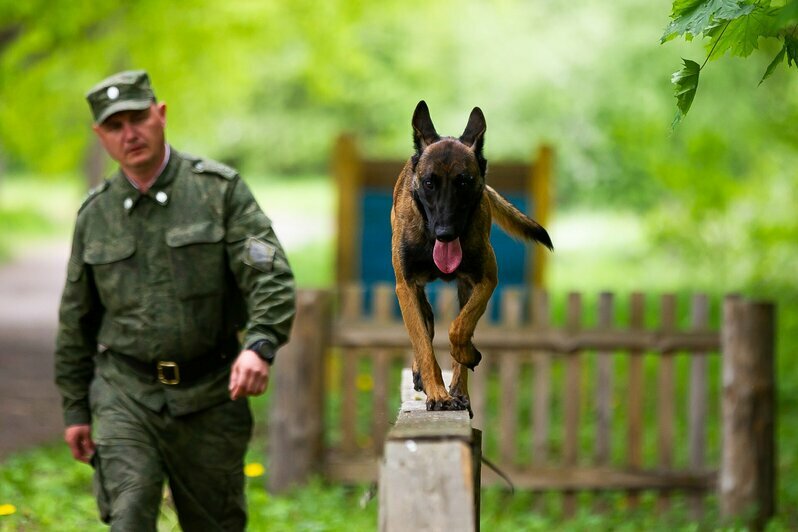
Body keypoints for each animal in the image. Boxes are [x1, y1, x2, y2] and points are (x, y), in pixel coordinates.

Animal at [390, 102, 552, 414]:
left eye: (463, 182)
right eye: (429, 183)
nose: (445, 233)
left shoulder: (484, 280)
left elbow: (459, 327)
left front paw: (464, 358)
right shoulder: (406, 286)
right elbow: (423, 343)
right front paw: (437, 393)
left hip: (465, 288)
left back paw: (460, 389)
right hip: (415, 292)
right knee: (425, 328)